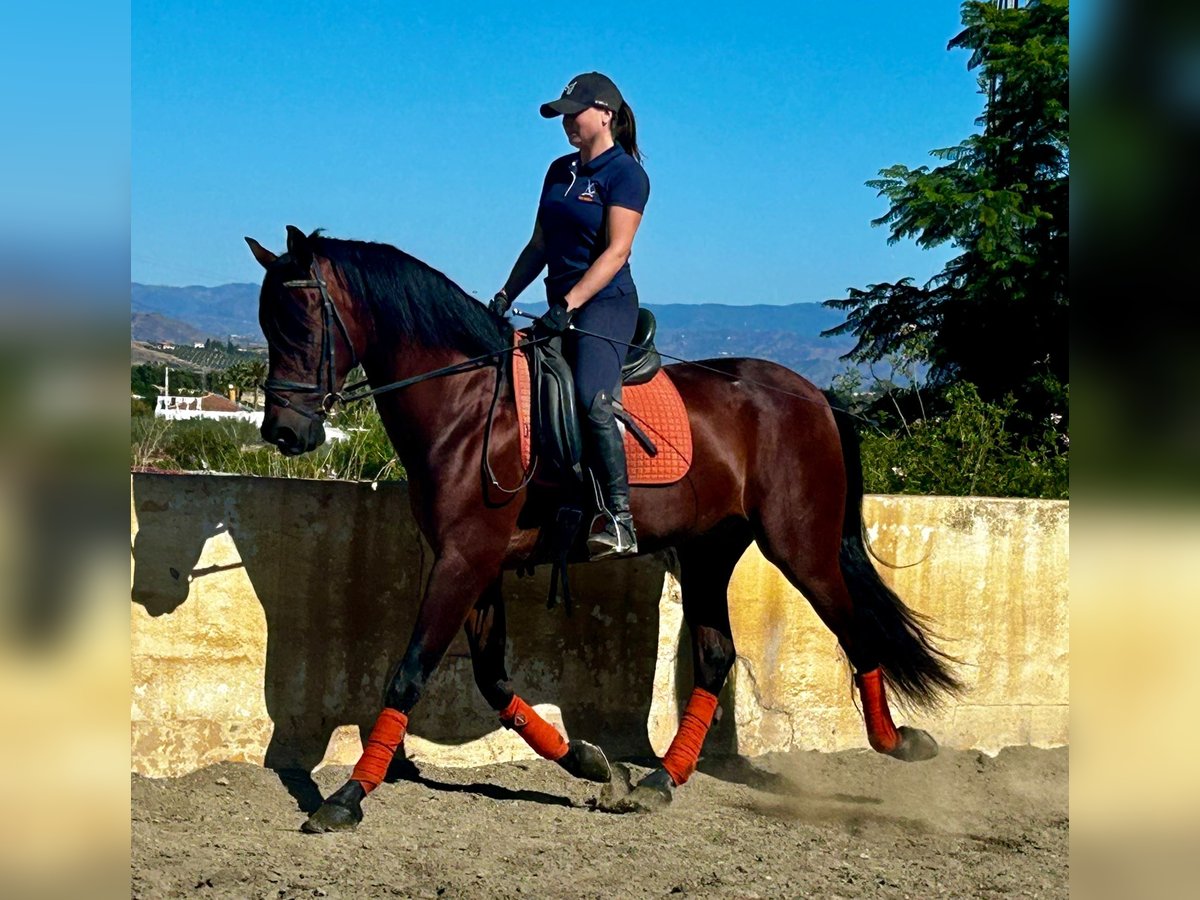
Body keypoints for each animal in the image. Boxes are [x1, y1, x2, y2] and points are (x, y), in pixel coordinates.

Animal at [246, 229, 964, 835]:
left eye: (302, 322)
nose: (283, 432)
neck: (469, 404)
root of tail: (811, 394)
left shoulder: (463, 558)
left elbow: (410, 673)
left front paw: (346, 798)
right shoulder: (474, 561)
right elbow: (492, 680)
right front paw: (592, 764)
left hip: (801, 547)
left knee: (855, 632)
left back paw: (898, 743)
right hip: (709, 551)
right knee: (715, 657)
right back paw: (659, 781)